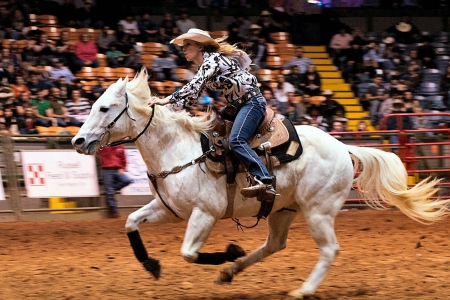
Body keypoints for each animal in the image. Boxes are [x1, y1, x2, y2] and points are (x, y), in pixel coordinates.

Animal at [71, 69, 450, 298]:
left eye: (104, 108)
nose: (77, 141)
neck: (178, 149)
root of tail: (343, 147)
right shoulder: (170, 210)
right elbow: (131, 222)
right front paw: (151, 265)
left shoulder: (204, 214)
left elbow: (189, 253)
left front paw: (228, 251)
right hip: (283, 209)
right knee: (274, 245)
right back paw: (231, 272)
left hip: (318, 211)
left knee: (329, 250)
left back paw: (300, 289)